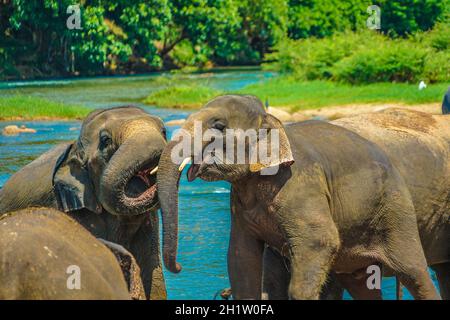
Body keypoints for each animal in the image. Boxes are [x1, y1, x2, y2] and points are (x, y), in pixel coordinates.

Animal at [156, 95, 448, 300]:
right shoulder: (238, 203)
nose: (179, 267)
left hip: (395, 211)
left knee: (414, 273)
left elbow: (320, 241)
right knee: (362, 284)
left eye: (218, 126)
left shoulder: (300, 185)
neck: (273, 121)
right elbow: (241, 255)